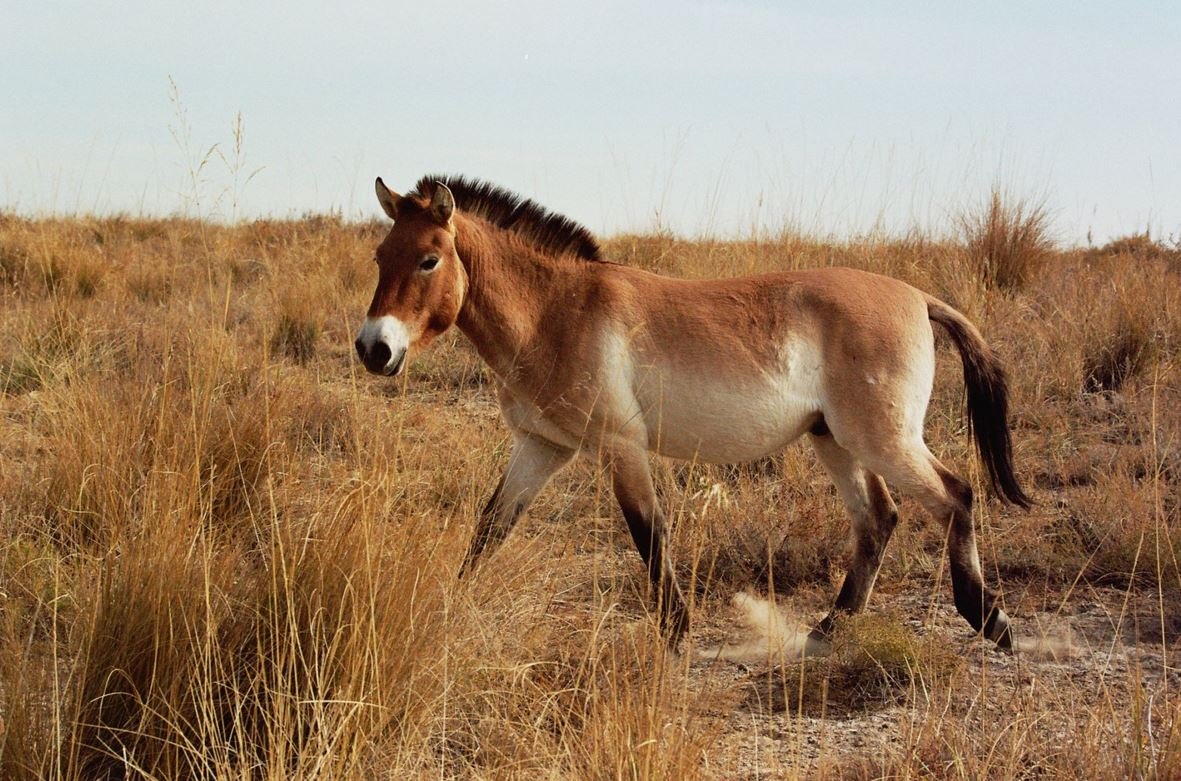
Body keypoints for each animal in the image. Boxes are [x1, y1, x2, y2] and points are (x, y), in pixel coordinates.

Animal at [354, 178, 1029, 652]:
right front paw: (446, 612)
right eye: (381, 256)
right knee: (879, 521)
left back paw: (989, 619)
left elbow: (650, 536)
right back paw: (829, 631)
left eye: (429, 260)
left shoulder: (620, 446)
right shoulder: (542, 447)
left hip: (883, 439)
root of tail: (918, 297)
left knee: (955, 496)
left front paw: (676, 638)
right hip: (835, 441)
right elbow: (490, 530)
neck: (555, 311)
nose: (373, 349)